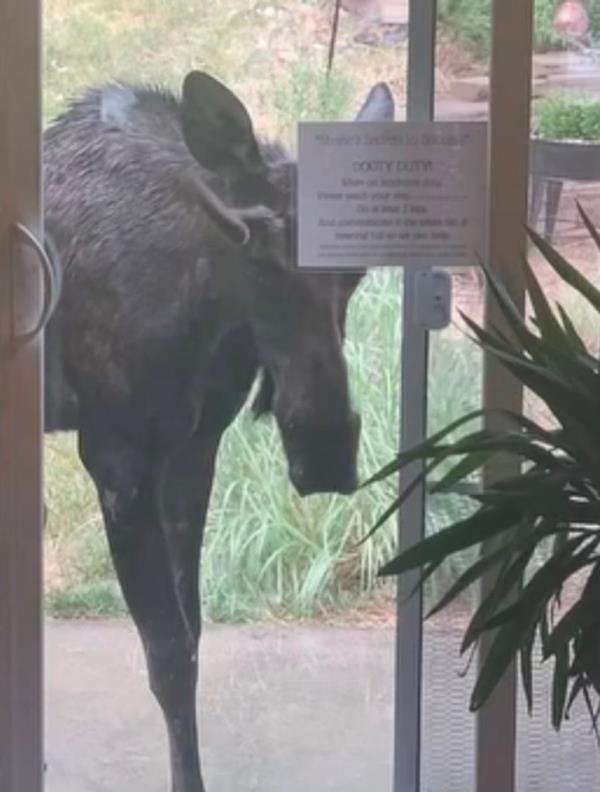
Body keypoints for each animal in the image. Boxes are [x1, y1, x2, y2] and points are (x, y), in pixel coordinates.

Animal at [43, 71, 394, 788]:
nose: (325, 452)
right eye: (255, 255)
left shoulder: (193, 450)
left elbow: (193, 639)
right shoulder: (113, 457)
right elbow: (167, 652)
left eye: (356, 271)